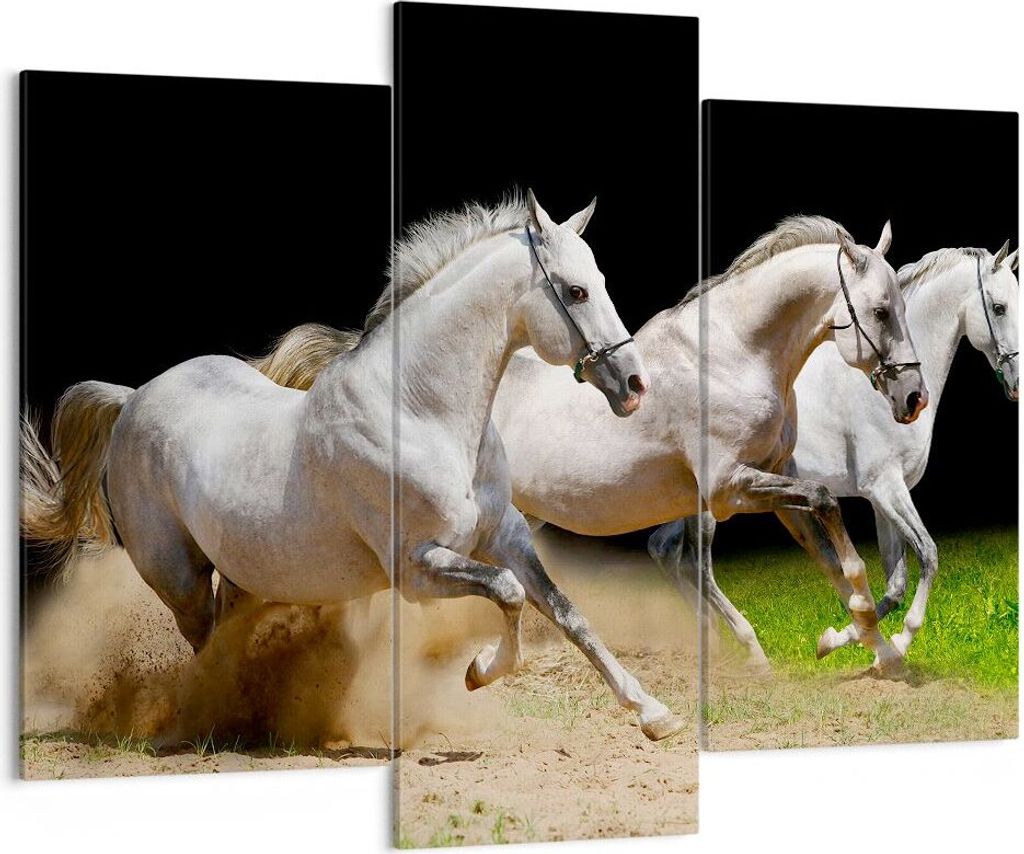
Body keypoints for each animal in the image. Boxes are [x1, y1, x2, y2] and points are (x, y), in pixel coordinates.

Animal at [20, 190, 687, 742]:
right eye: (575, 291)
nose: (634, 385)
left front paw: (655, 714)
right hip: (179, 578)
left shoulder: (505, 536)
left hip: (244, 572)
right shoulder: (417, 569)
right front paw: (478, 671)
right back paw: (211, 722)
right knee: (203, 644)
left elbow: (565, 610)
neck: (419, 412)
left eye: (600, 279)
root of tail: (132, 398)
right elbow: (509, 593)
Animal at [246, 216, 927, 675]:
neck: (735, 353)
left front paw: (875, 648)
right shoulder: (731, 488)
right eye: (881, 310)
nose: (914, 396)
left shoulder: (773, 483)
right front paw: (857, 634)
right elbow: (830, 513)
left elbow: (833, 555)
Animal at [650, 241, 1019, 667]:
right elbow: (928, 554)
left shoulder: (883, 498)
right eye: (999, 307)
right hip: (714, 503)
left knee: (664, 550)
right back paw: (746, 645)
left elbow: (895, 584)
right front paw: (895, 640)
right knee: (697, 565)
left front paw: (850, 642)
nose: (1017, 384)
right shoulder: (886, 488)